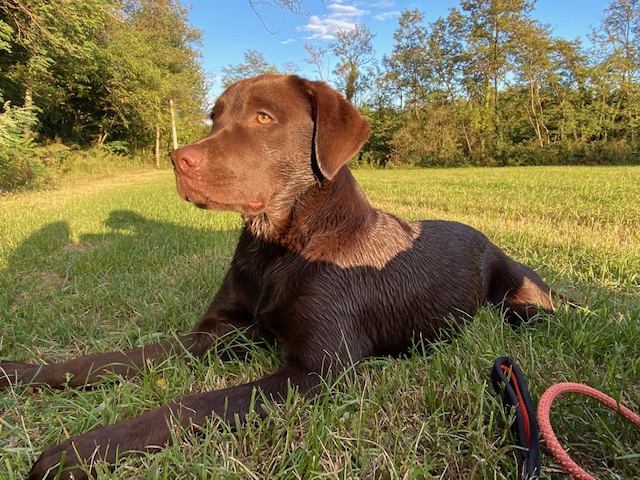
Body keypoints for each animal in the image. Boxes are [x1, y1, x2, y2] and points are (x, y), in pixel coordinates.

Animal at [1, 73, 556, 478]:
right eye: (215, 116)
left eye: (264, 117)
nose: (179, 161)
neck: (277, 250)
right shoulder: (223, 330)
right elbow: (112, 360)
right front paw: (21, 373)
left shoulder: (320, 370)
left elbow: (193, 404)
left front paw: (81, 449)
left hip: (522, 297)